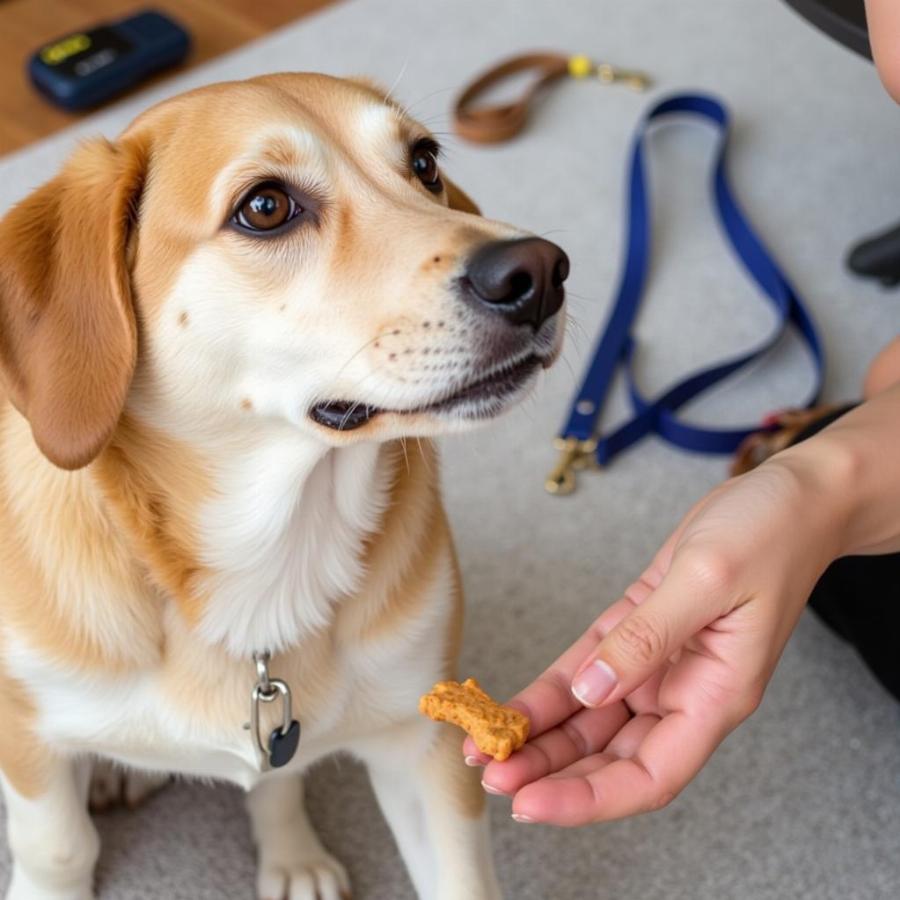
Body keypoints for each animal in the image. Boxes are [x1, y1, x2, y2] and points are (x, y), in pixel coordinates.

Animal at [0, 72, 568, 900]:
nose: (541, 273)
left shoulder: (423, 746)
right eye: (265, 207)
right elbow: (59, 849)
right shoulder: (27, 738)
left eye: (424, 162)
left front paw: (289, 851)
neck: (271, 551)